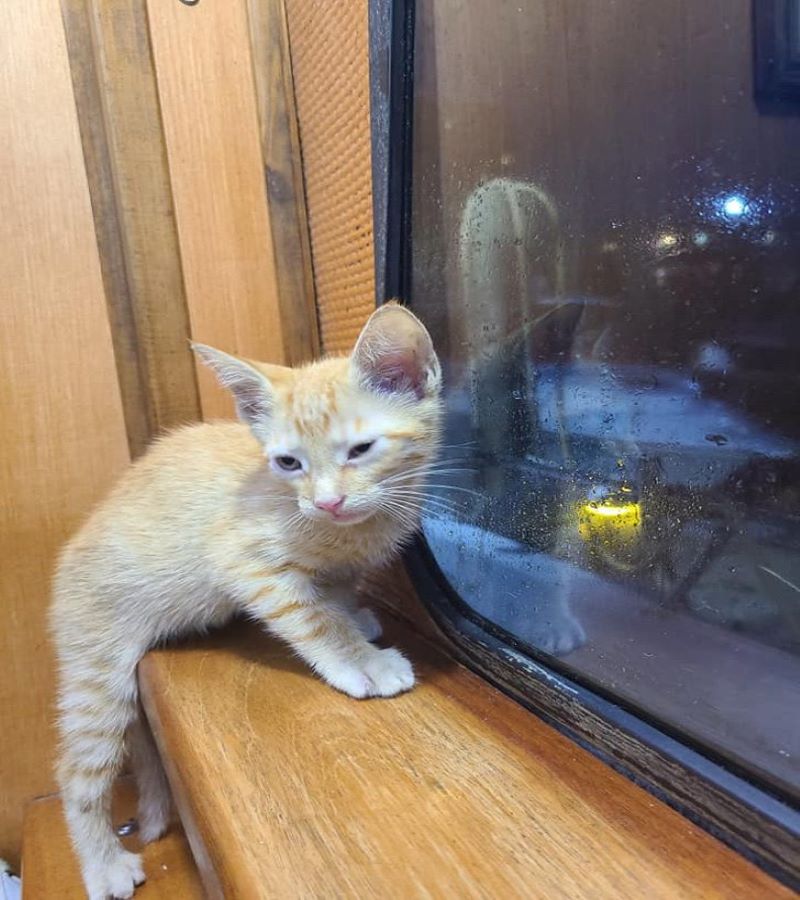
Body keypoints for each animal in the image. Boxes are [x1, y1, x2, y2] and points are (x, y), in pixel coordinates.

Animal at [51, 306, 444, 896]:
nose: (327, 502)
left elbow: (334, 590)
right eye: (288, 463)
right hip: (96, 673)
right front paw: (360, 660)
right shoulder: (240, 559)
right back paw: (103, 866)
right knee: (77, 776)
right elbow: (311, 617)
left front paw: (354, 615)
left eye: (360, 450)